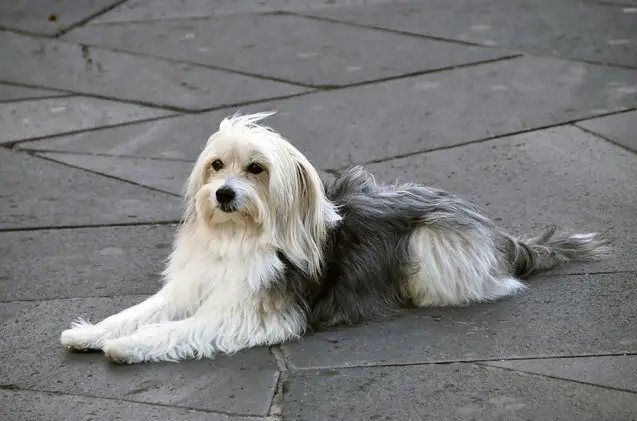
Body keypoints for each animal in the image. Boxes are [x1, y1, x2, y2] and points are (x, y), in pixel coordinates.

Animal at [59, 111, 608, 364]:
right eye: (216, 165)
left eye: (256, 168)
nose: (224, 194)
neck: (239, 238)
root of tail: (499, 234)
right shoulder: (188, 289)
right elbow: (140, 312)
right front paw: (91, 333)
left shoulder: (244, 314)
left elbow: (178, 330)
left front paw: (128, 347)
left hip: (429, 244)